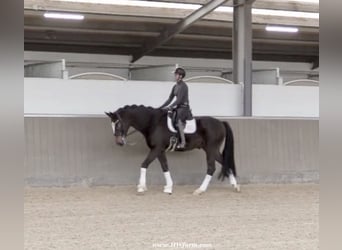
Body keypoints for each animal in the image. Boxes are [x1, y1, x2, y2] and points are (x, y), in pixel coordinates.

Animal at [105, 104, 239, 194]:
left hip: (211, 149)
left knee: (211, 168)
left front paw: (141, 187)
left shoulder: (156, 149)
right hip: (212, 150)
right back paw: (235, 186)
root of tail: (221, 123)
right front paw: (168, 187)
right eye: (111, 124)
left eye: (118, 124)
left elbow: (144, 164)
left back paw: (200, 190)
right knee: (225, 163)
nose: (119, 142)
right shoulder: (159, 150)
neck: (152, 122)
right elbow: (165, 166)